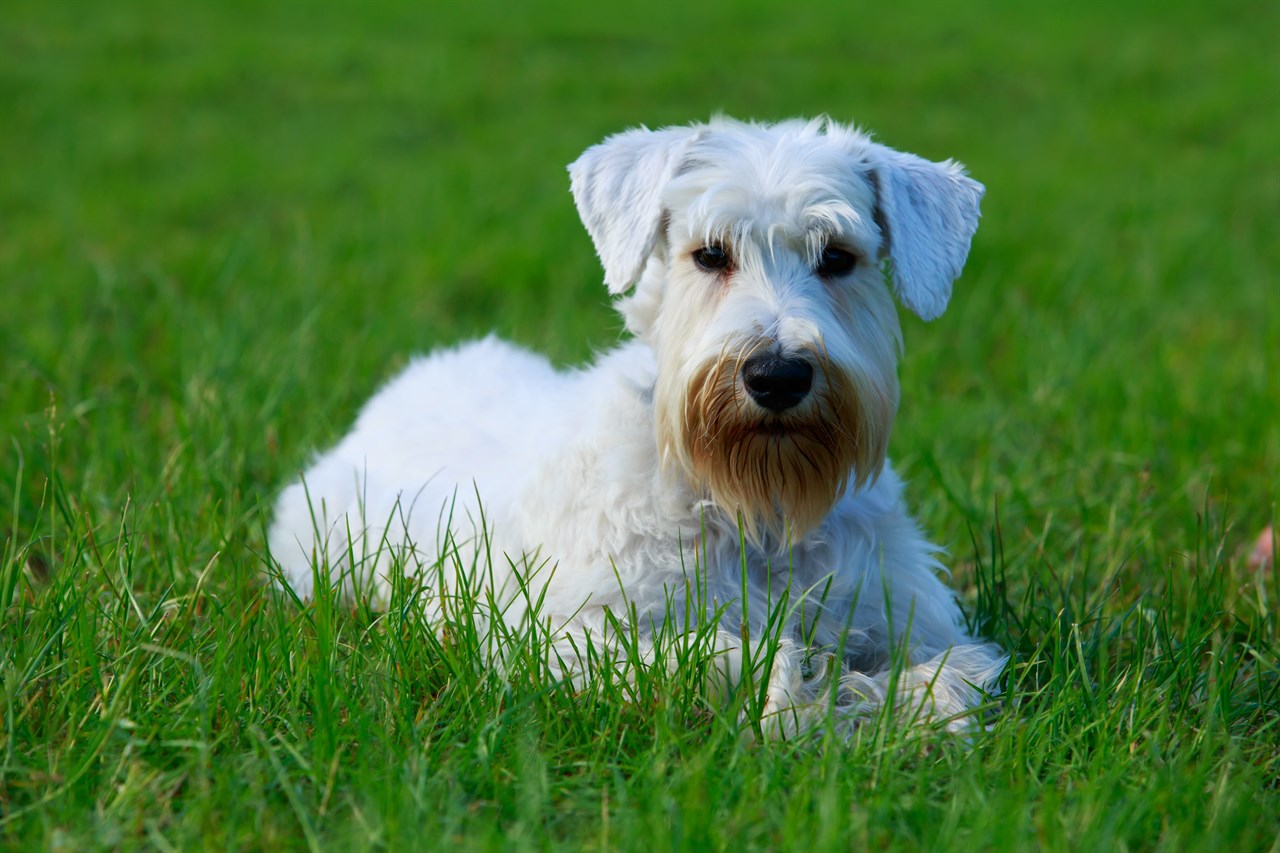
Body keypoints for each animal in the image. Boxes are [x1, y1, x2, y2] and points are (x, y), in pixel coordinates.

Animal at [270, 116, 1003, 732]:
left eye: (838, 258)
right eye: (709, 254)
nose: (777, 376)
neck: (752, 504)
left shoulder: (920, 621)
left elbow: (949, 678)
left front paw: (884, 707)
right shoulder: (559, 632)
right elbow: (731, 657)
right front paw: (805, 701)